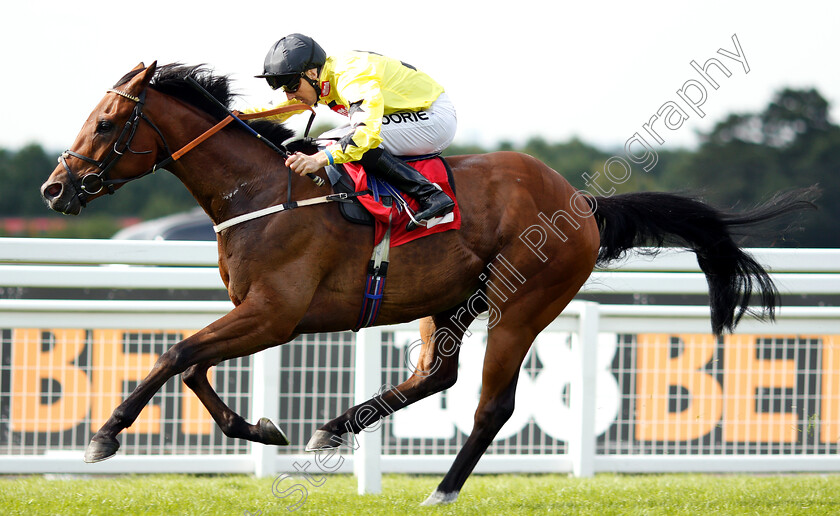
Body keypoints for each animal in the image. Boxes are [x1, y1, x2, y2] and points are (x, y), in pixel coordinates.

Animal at [41, 61, 820, 504]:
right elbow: (194, 366)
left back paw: (441, 490)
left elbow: (176, 353)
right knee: (436, 377)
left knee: (491, 405)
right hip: (447, 302)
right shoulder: (255, 313)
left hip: (521, 303)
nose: (55, 188)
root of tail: (579, 202)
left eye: (106, 123)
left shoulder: (275, 314)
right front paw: (259, 428)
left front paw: (105, 436)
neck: (260, 193)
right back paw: (334, 426)